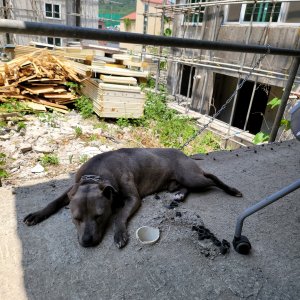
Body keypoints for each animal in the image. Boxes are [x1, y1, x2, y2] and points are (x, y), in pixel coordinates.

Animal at [24, 148, 243, 248]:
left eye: (99, 216)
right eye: (75, 218)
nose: (87, 242)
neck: (96, 175)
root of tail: (184, 153)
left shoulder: (132, 199)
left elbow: (120, 216)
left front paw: (119, 234)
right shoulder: (72, 189)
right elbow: (54, 201)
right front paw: (37, 214)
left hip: (192, 177)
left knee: (212, 178)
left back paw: (232, 190)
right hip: (178, 181)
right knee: (185, 187)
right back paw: (180, 194)